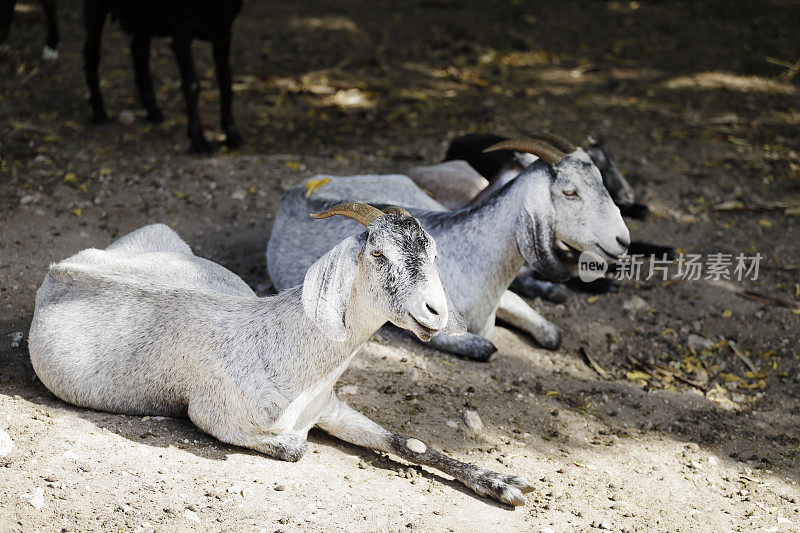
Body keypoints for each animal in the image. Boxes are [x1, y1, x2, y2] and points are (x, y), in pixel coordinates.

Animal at [83, 1, 244, 153]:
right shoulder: (181, 32)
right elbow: (191, 84)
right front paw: (198, 141)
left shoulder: (223, 31)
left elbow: (226, 81)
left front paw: (232, 135)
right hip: (96, 9)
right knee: (91, 54)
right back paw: (99, 112)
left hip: (144, 17)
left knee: (138, 49)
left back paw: (152, 110)